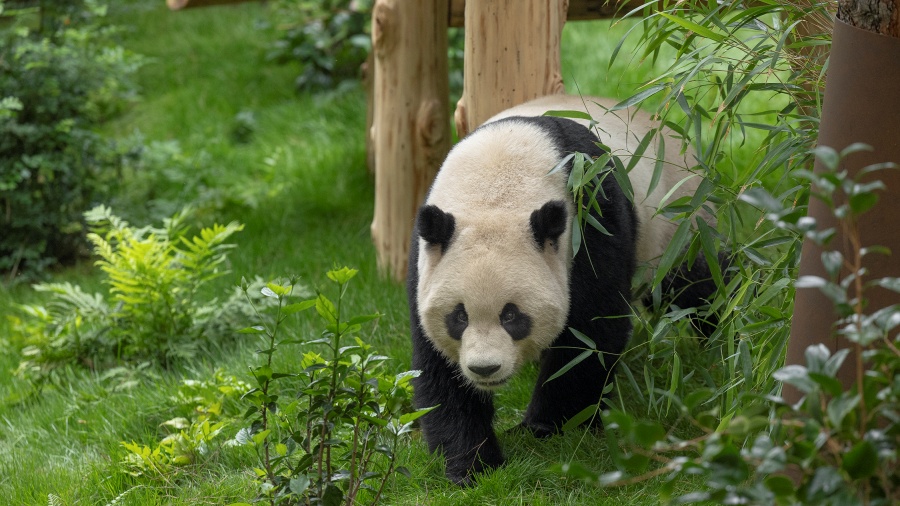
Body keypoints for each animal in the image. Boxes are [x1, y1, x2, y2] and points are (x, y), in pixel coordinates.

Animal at [410, 93, 716, 484]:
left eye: (512, 316)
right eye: (459, 317)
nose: (485, 369)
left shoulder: (591, 217)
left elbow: (590, 333)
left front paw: (547, 427)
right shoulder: (427, 256)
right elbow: (437, 366)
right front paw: (472, 464)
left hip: (678, 225)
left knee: (696, 286)